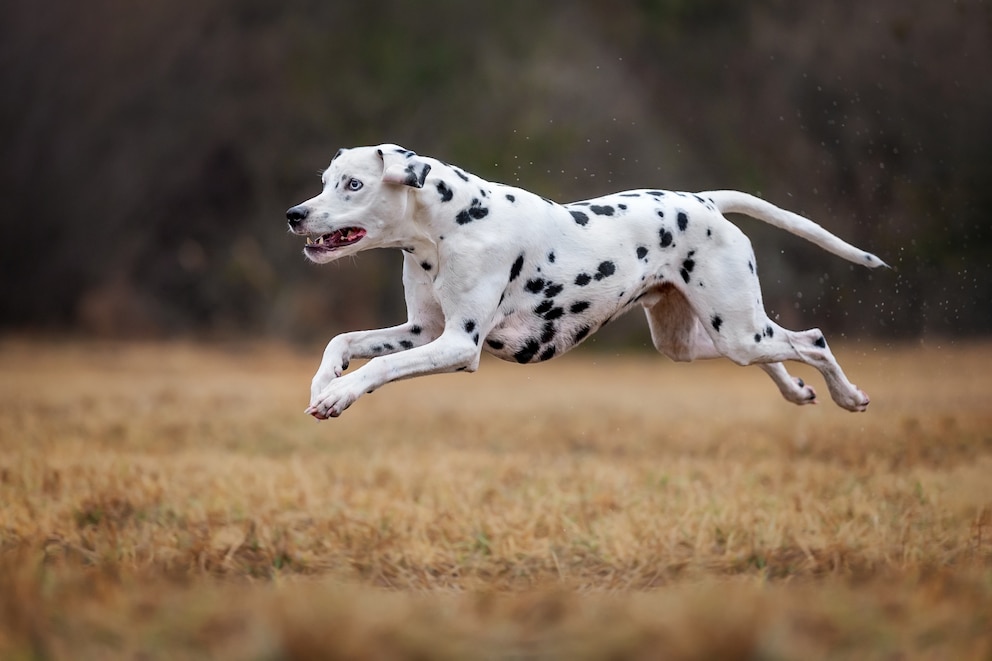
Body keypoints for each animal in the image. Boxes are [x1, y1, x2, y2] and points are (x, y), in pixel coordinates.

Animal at [284, 147, 884, 420]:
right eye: (324, 181)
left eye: (353, 185)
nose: (294, 213)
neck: (448, 225)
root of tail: (703, 200)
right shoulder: (420, 331)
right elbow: (342, 341)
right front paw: (324, 381)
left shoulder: (457, 344)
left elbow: (377, 368)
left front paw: (339, 394)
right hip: (700, 339)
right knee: (777, 352)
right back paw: (797, 389)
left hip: (736, 330)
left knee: (813, 340)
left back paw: (849, 395)